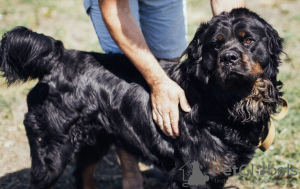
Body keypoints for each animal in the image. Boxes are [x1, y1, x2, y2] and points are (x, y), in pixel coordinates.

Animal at [0, 8, 284, 189]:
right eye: (216, 45)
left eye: (248, 40)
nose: (229, 57)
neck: (224, 103)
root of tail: (58, 57)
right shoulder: (191, 175)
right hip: (51, 151)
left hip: (95, 140)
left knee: (82, 175)